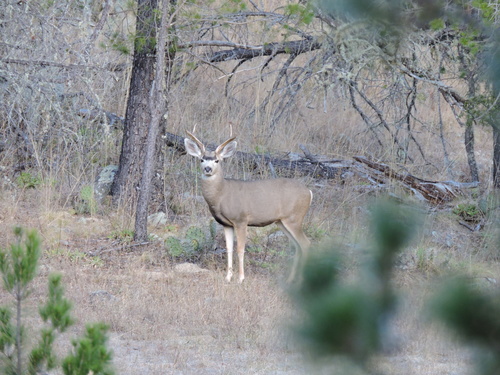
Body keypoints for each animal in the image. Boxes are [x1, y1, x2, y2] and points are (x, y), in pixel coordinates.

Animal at [183, 131, 312, 284]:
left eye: (217, 161)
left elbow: (240, 249)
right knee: (297, 246)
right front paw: (228, 277)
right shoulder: (226, 224)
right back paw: (290, 280)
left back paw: (301, 281)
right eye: (202, 159)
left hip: (294, 218)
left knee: (306, 244)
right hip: (282, 221)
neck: (221, 195)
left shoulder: (241, 219)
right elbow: (229, 249)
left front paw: (241, 278)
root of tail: (309, 192)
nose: (207, 169)